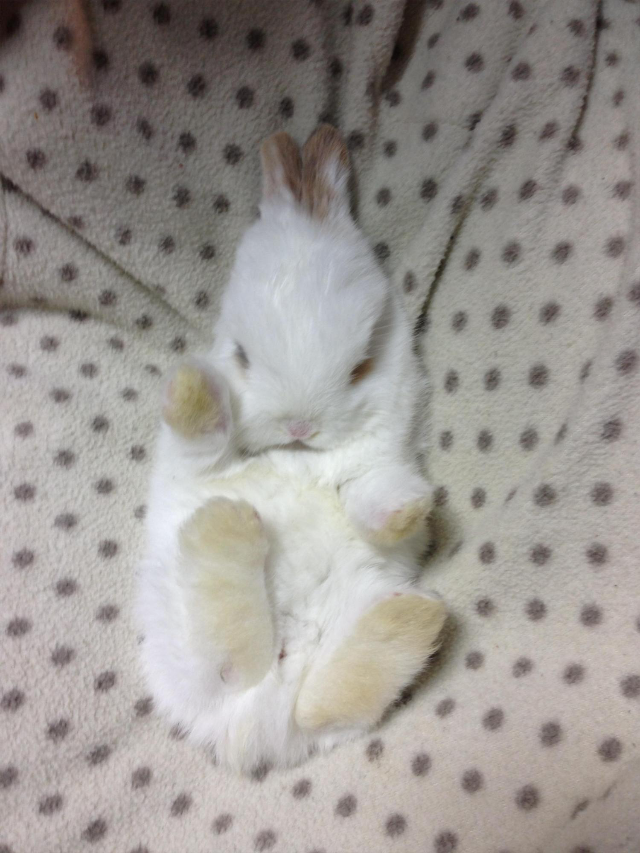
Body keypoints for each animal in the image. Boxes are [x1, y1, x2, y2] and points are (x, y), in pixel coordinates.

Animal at [136, 359, 446, 772]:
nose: (301, 428)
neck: (305, 469)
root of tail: (253, 728)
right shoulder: (197, 468)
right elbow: (203, 439)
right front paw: (192, 383)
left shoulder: (371, 493)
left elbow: (376, 502)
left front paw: (408, 509)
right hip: (181, 640)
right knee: (231, 666)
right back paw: (226, 524)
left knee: (316, 707)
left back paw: (409, 617)